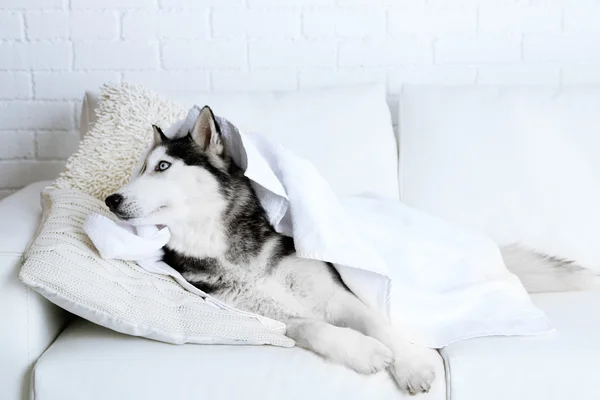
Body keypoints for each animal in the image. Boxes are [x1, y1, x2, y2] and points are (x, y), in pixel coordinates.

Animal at [105, 105, 592, 394]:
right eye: (138, 170)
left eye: (162, 166)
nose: (110, 199)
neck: (225, 246)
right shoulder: (264, 314)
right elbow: (312, 328)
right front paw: (364, 353)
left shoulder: (336, 292)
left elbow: (376, 320)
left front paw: (410, 363)